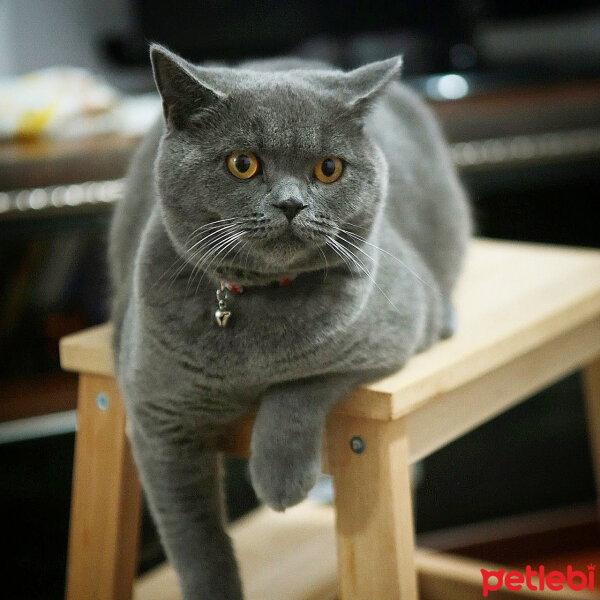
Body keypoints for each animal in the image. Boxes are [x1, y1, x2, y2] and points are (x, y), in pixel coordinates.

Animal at [110, 44, 472, 596]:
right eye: (242, 163)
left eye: (329, 168)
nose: (290, 203)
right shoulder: (159, 417)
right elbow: (195, 545)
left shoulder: (392, 332)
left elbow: (300, 386)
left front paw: (280, 481)